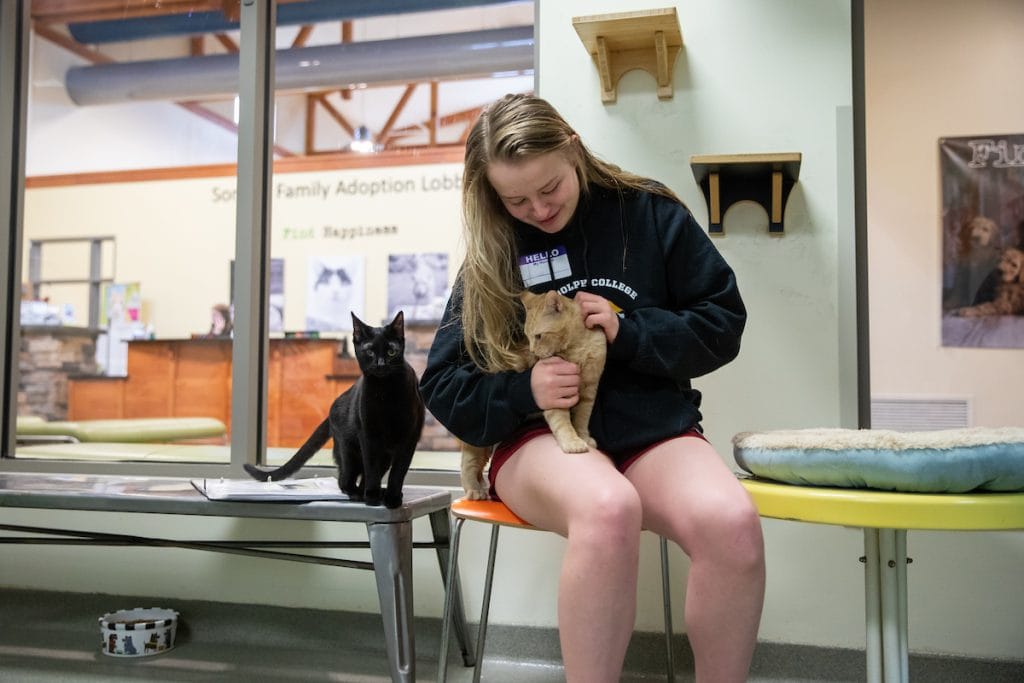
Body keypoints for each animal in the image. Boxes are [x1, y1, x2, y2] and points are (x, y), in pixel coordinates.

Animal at [243, 309, 423, 507]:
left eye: (391, 351)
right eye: (369, 351)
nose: (381, 363)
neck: (385, 391)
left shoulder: (408, 438)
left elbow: (398, 472)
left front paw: (392, 497)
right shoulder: (368, 435)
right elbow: (371, 469)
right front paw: (373, 496)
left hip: (382, 456)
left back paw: (372, 493)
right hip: (348, 451)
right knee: (345, 480)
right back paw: (358, 494)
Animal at [462, 290, 606, 499]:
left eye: (538, 336)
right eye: (528, 337)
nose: (532, 351)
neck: (578, 347)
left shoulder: (589, 391)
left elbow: (581, 419)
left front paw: (583, 436)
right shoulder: (555, 396)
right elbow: (564, 424)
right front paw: (572, 442)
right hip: (478, 443)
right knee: (468, 464)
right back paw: (475, 491)